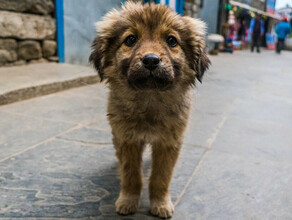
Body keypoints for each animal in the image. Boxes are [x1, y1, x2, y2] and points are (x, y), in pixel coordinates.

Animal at [89, 1, 210, 218]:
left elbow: (160, 178)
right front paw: (128, 201)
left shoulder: (168, 142)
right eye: (130, 39)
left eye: (171, 40)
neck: (149, 99)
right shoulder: (127, 139)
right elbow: (131, 175)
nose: (151, 60)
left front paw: (160, 203)